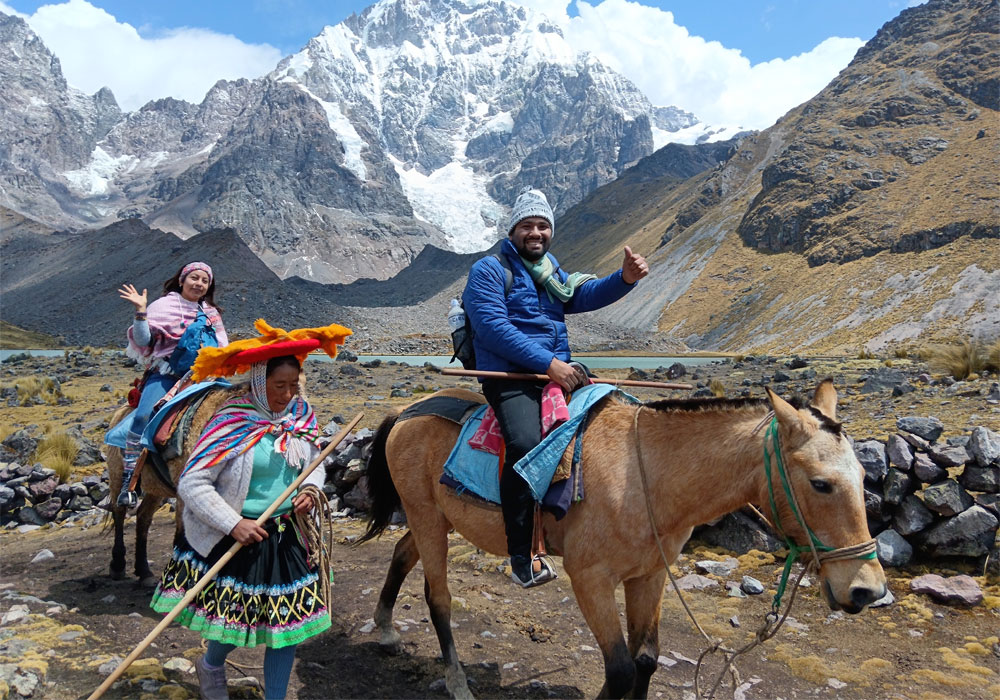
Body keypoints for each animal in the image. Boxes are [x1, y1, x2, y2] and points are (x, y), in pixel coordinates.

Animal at [362, 382, 892, 700]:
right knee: (438, 598)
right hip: (428, 519)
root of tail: (406, 411)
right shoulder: (590, 580)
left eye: (864, 474)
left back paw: (385, 628)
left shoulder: (649, 575)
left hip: (435, 519)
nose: (866, 590)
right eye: (821, 484)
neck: (646, 476)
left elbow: (645, 660)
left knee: (401, 554)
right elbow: (618, 670)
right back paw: (456, 682)